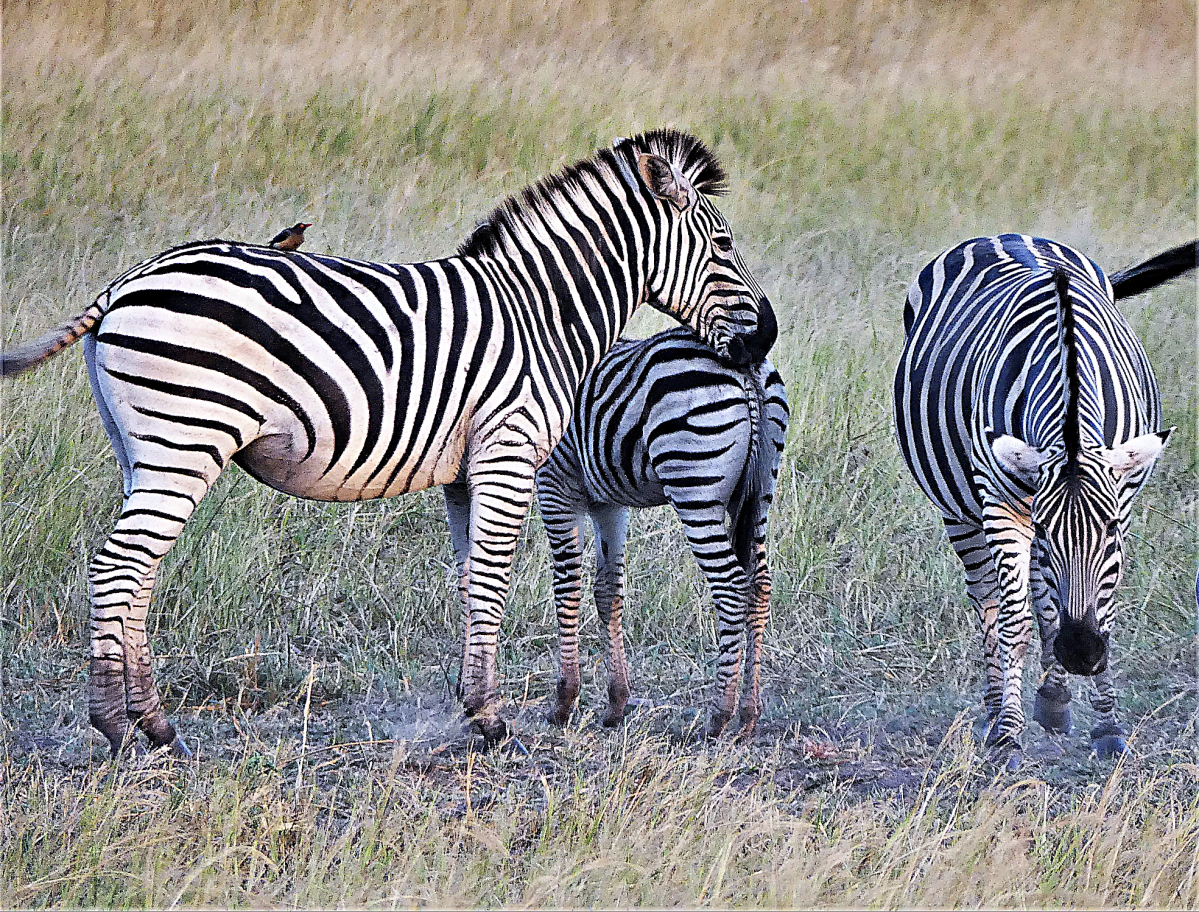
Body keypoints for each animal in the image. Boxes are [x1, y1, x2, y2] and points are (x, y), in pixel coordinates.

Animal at [536, 326, 788, 738]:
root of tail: (746, 365)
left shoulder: (556, 482)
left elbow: (567, 586)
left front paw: (564, 701)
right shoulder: (607, 501)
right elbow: (607, 591)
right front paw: (616, 704)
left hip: (695, 485)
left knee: (732, 585)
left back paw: (719, 716)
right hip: (761, 491)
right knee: (760, 584)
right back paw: (749, 714)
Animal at [893, 234, 1195, 763]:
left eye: (1110, 533)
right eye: (1050, 532)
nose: (1081, 655)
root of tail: (1001, 234)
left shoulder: (1122, 503)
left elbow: (1098, 608)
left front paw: (1106, 726)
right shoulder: (1002, 505)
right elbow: (1013, 624)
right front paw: (1009, 736)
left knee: (1043, 599)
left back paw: (1053, 698)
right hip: (961, 510)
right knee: (989, 599)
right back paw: (997, 711)